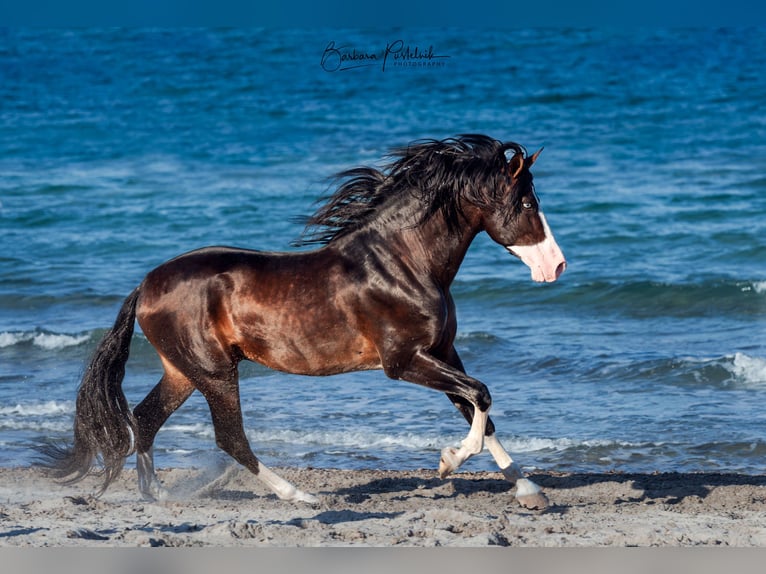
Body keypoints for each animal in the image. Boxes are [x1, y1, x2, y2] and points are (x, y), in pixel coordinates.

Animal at [43, 136, 568, 512]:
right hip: (214, 372)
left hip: (183, 372)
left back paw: (158, 494)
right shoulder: (403, 362)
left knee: (145, 419)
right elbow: (480, 394)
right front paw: (447, 462)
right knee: (229, 438)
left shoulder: (442, 352)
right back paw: (299, 495)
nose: (558, 267)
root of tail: (146, 285)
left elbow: (478, 407)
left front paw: (528, 490)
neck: (402, 263)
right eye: (527, 205)